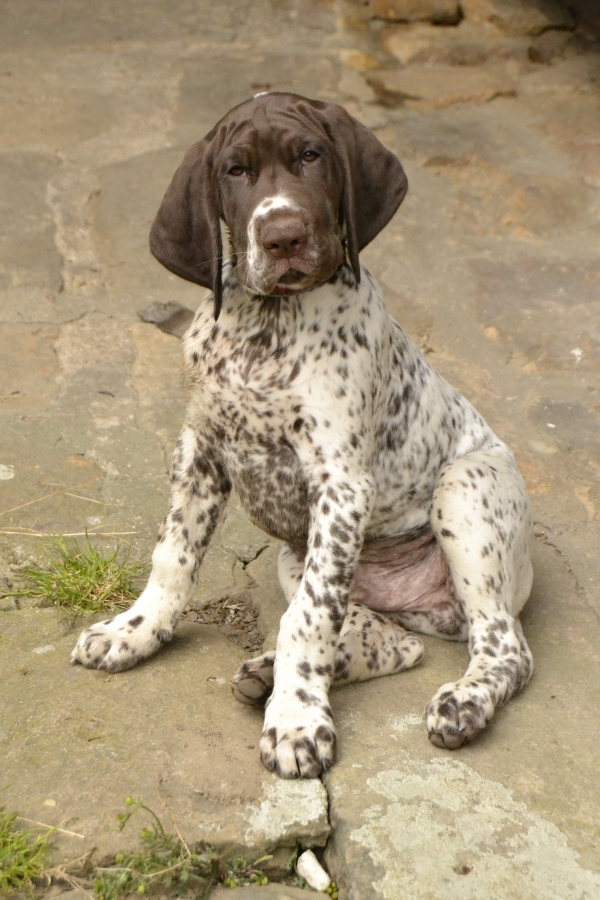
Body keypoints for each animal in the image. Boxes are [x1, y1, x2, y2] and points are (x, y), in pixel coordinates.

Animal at [71, 92, 534, 779]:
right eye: (235, 170)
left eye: (311, 157)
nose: (282, 235)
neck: (266, 325)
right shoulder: (200, 452)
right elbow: (173, 559)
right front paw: (135, 631)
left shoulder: (339, 486)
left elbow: (308, 622)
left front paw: (295, 722)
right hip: (299, 559)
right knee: (391, 643)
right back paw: (278, 672)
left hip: (464, 494)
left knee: (503, 648)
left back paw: (462, 701)